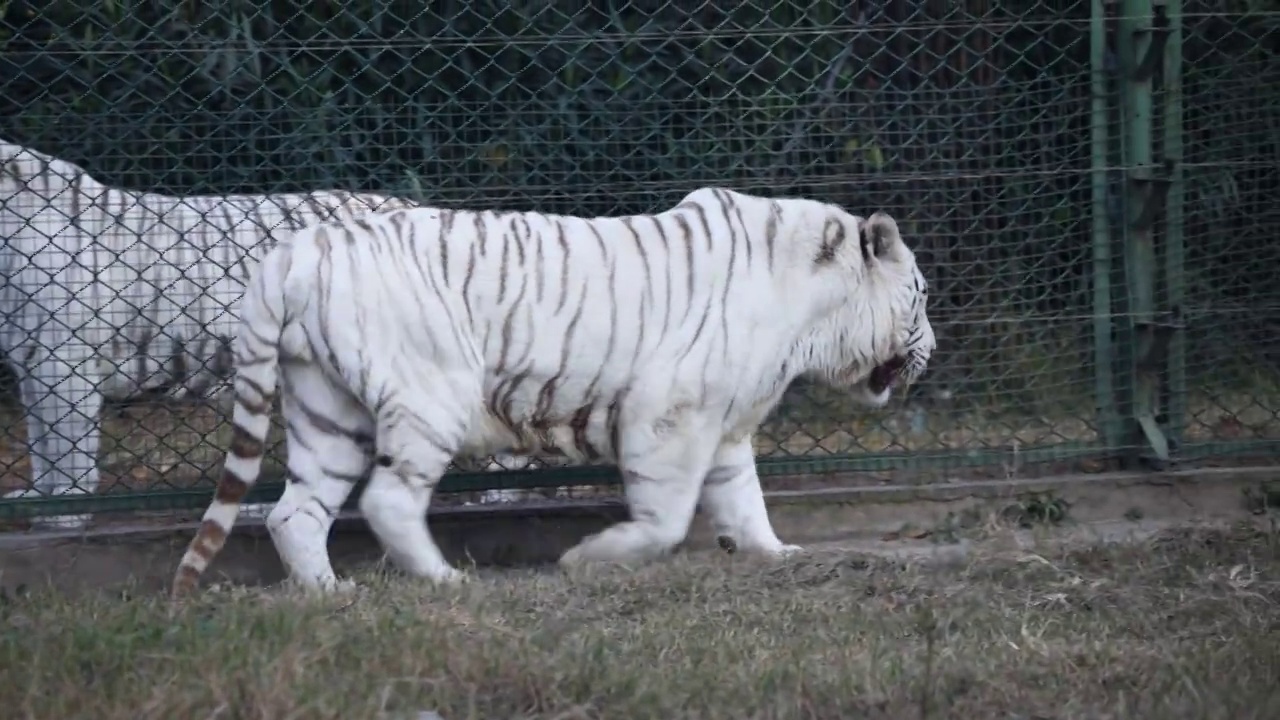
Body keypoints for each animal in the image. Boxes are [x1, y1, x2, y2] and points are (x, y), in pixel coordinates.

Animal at [0, 137, 424, 527]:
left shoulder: (64, 361)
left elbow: (64, 444)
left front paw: (65, 510)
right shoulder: (31, 361)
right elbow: (39, 442)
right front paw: (37, 497)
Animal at [170, 184, 936, 594]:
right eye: (922, 297)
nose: (931, 351)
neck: (810, 314)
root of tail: (297, 251)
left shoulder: (723, 422)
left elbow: (744, 499)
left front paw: (775, 553)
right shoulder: (671, 413)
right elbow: (666, 519)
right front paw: (585, 560)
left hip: (328, 411)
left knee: (294, 512)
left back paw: (331, 593)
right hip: (429, 396)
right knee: (387, 500)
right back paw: (446, 581)